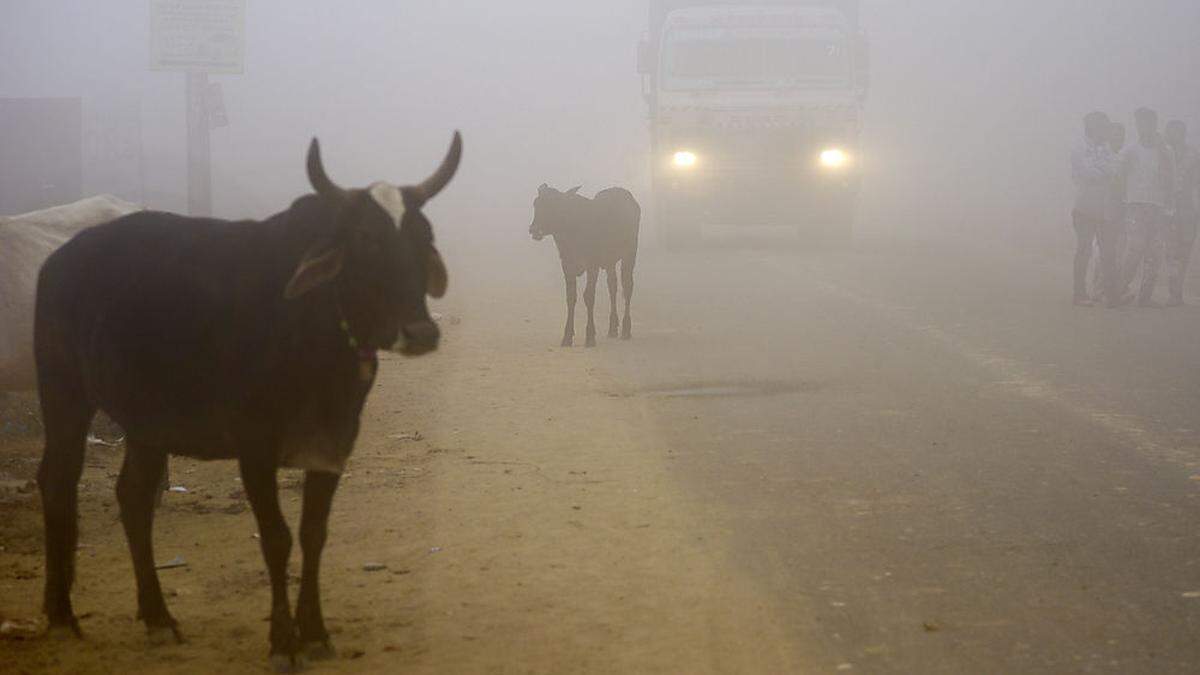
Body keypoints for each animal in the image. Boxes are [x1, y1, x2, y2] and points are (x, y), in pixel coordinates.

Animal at [32, 131, 463, 667]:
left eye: (423, 236)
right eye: (367, 239)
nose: (421, 332)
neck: (317, 327)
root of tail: (59, 260)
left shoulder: (334, 443)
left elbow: (314, 534)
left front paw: (315, 632)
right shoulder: (255, 447)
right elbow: (277, 539)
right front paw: (282, 641)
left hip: (148, 422)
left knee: (133, 497)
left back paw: (158, 618)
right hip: (64, 394)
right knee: (57, 482)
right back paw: (62, 615)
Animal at [525, 182, 638, 345]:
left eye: (553, 205)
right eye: (536, 204)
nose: (534, 229)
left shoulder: (592, 265)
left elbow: (589, 296)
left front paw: (590, 336)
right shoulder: (567, 265)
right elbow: (571, 297)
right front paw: (567, 336)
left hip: (630, 254)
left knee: (627, 286)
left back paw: (626, 329)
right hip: (610, 262)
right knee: (612, 286)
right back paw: (612, 328)